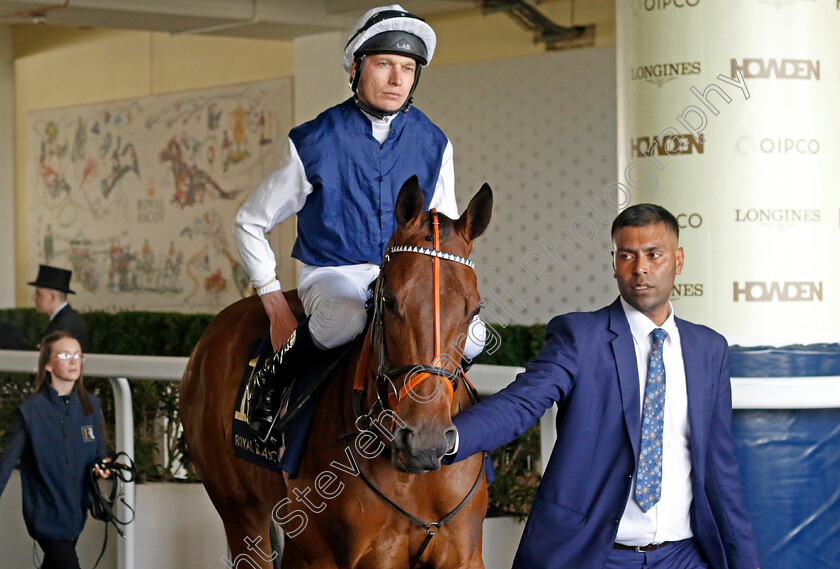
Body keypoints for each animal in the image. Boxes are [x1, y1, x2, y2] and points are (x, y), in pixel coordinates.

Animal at [179, 175, 492, 564]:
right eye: (390, 300)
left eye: (474, 309)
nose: (426, 441)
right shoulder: (355, 556)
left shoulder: (463, 555)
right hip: (244, 518)